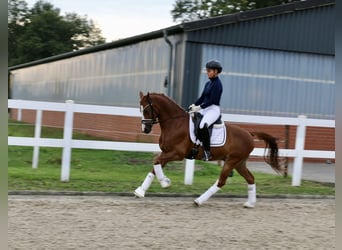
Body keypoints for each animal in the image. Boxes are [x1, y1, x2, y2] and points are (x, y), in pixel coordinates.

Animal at [132, 92, 282, 207]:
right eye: (140, 110)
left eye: (146, 110)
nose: (145, 129)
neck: (175, 122)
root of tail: (249, 134)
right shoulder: (166, 153)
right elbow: (155, 166)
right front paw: (141, 191)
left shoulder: (176, 154)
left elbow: (156, 161)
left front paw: (165, 183)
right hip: (239, 163)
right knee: (250, 178)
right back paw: (250, 204)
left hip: (232, 161)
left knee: (221, 182)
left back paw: (198, 201)